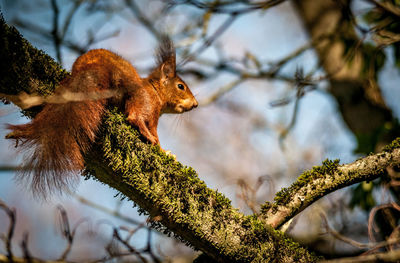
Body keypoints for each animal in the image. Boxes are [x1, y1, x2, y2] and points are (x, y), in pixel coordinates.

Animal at [6, 36, 198, 196]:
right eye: (181, 86)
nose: (196, 104)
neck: (156, 92)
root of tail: (94, 67)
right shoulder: (151, 108)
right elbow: (151, 129)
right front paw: (164, 151)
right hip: (138, 98)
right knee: (135, 117)